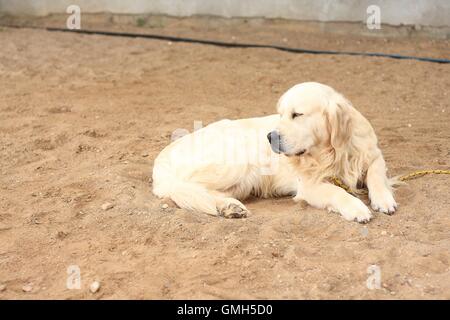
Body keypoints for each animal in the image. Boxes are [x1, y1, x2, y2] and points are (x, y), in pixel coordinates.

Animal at [154, 82, 398, 222]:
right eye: (280, 114)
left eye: (296, 114)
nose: (270, 137)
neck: (332, 152)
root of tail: (162, 158)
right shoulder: (308, 185)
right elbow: (337, 191)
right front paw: (357, 208)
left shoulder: (374, 155)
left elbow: (376, 174)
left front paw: (384, 200)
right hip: (237, 161)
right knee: (189, 189)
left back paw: (230, 207)